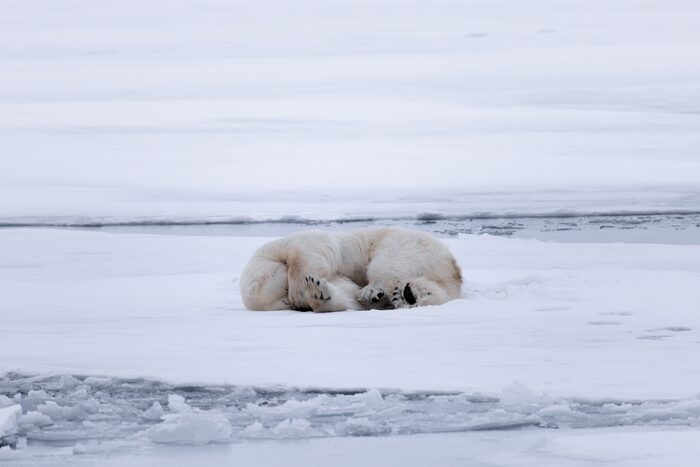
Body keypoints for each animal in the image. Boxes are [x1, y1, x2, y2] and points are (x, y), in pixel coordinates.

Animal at [239, 227, 462, 312]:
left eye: (285, 290)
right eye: (283, 300)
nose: (295, 304)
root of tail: (452, 268)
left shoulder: (280, 246)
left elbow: (312, 248)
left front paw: (302, 288)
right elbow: (346, 295)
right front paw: (317, 293)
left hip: (402, 242)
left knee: (388, 262)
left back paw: (374, 290)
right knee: (437, 289)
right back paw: (406, 295)